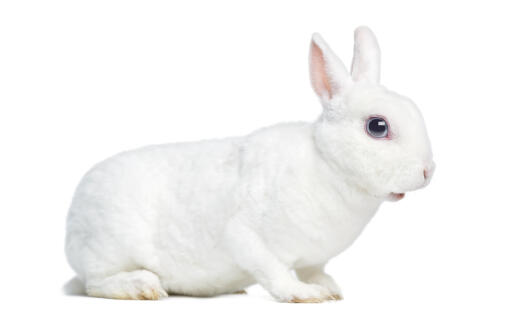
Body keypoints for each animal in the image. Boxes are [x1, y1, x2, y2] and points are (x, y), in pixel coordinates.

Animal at [65, 26, 436, 302]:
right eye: (378, 126)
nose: (428, 171)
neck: (327, 167)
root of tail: (71, 227)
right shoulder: (246, 236)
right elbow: (274, 272)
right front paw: (305, 294)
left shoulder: (315, 257)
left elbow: (315, 270)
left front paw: (331, 289)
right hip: (108, 249)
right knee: (95, 284)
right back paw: (141, 286)